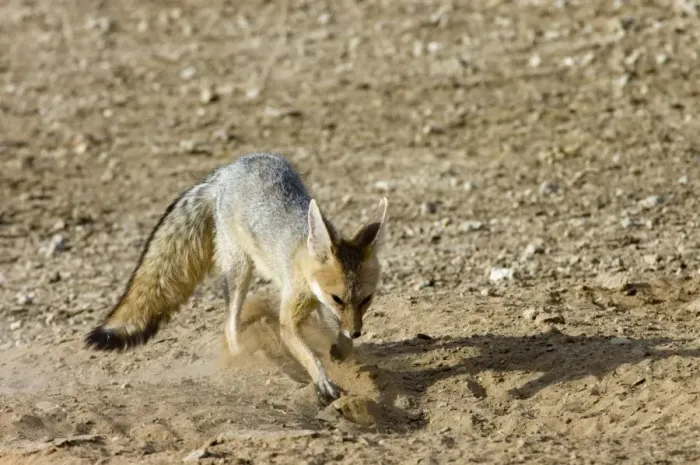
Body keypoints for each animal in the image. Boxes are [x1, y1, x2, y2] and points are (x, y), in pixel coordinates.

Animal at [85, 152, 388, 400]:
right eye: (338, 298)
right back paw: (246, 358)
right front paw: (322, 378)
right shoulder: (290, 318)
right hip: (240, 271)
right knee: (229, 324)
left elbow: (336, 335)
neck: (301, 258)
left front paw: (341, 348)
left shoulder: (321, 305)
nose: (357, 331)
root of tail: (227, 170)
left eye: (366, 300)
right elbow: (307, 352)